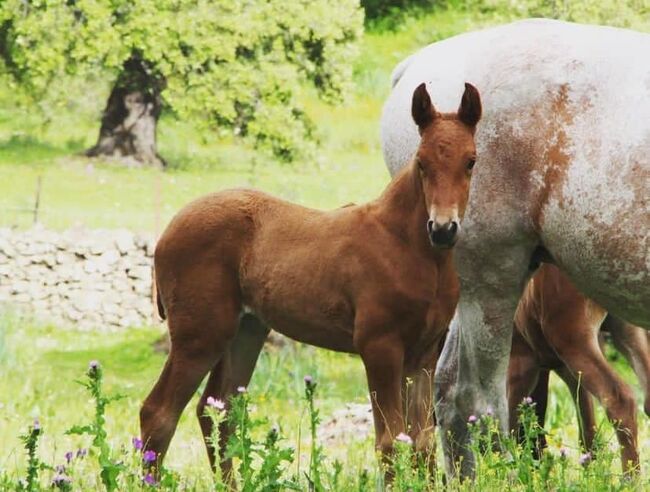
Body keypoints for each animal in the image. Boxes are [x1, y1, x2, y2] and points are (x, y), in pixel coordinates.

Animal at [512, 266, 644, 472]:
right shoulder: (552, 366)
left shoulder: (519, 360)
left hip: (572, 339)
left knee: (620, 399)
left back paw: (629, 477)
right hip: (626, 330)